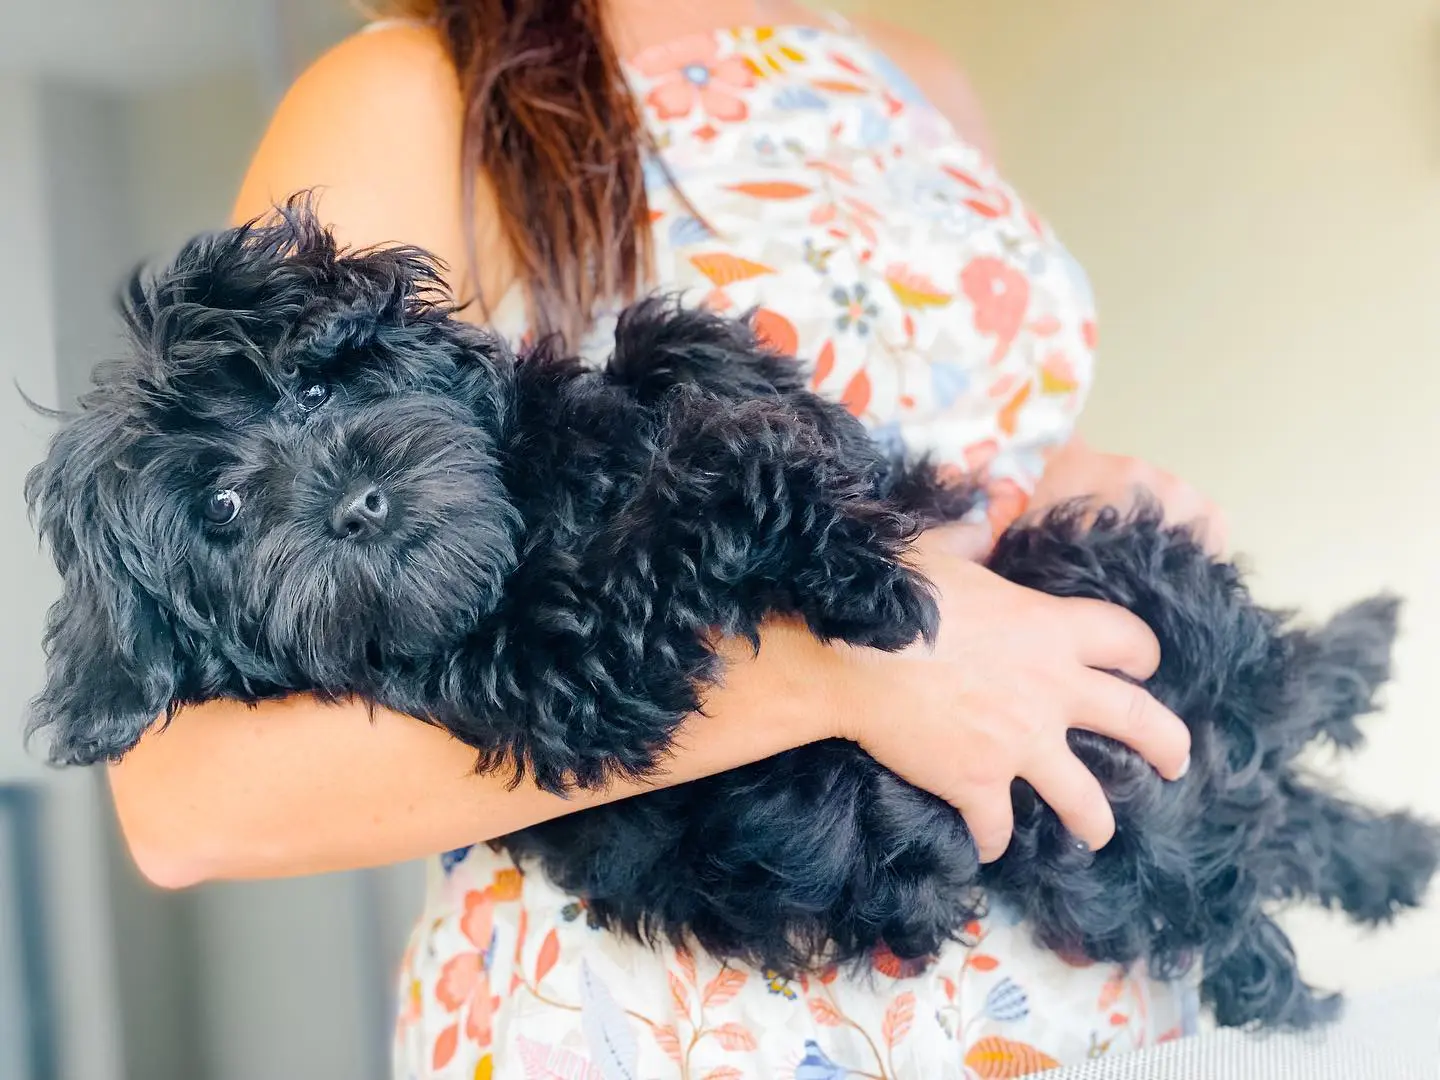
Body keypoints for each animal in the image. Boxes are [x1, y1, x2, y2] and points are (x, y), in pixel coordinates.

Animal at [25, 203, 1440, 1031]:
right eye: (221, 504)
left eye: (323, 384)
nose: (356, 504)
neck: (533, 519)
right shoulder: (568, 673)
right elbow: (684, 513)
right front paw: (857, 574)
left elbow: (672, 351)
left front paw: (784, 426)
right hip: (1106, 855)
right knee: (1249, 848)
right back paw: (1312, 913)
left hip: (1102, 580)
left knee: (1260, 706)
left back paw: (1366, 781)